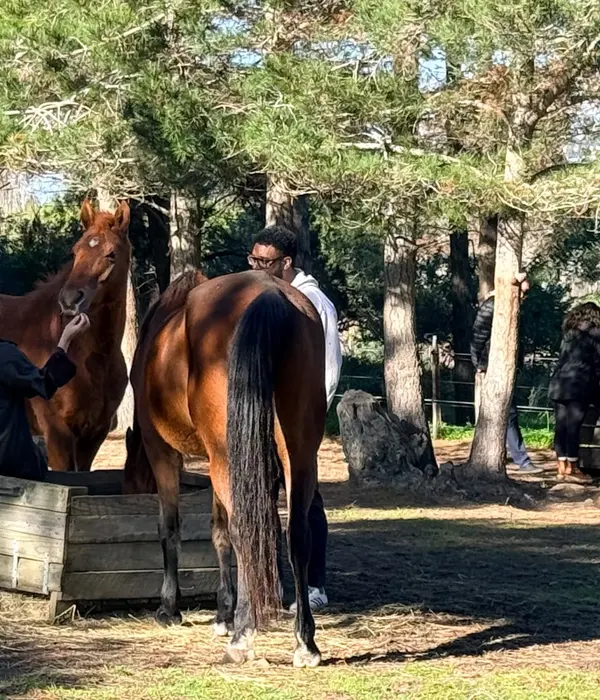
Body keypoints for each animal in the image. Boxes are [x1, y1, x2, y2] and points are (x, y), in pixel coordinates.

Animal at [124, 269, 327, 667]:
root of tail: (270, 293)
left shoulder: (163, 453)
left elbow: (170, 527)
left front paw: (170, 608)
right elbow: (218, 532)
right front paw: (223, 612)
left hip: (226, 459)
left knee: (246, 531)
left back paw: (243, 638)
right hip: (295, 456)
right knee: (296, 533)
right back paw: (304, 642)